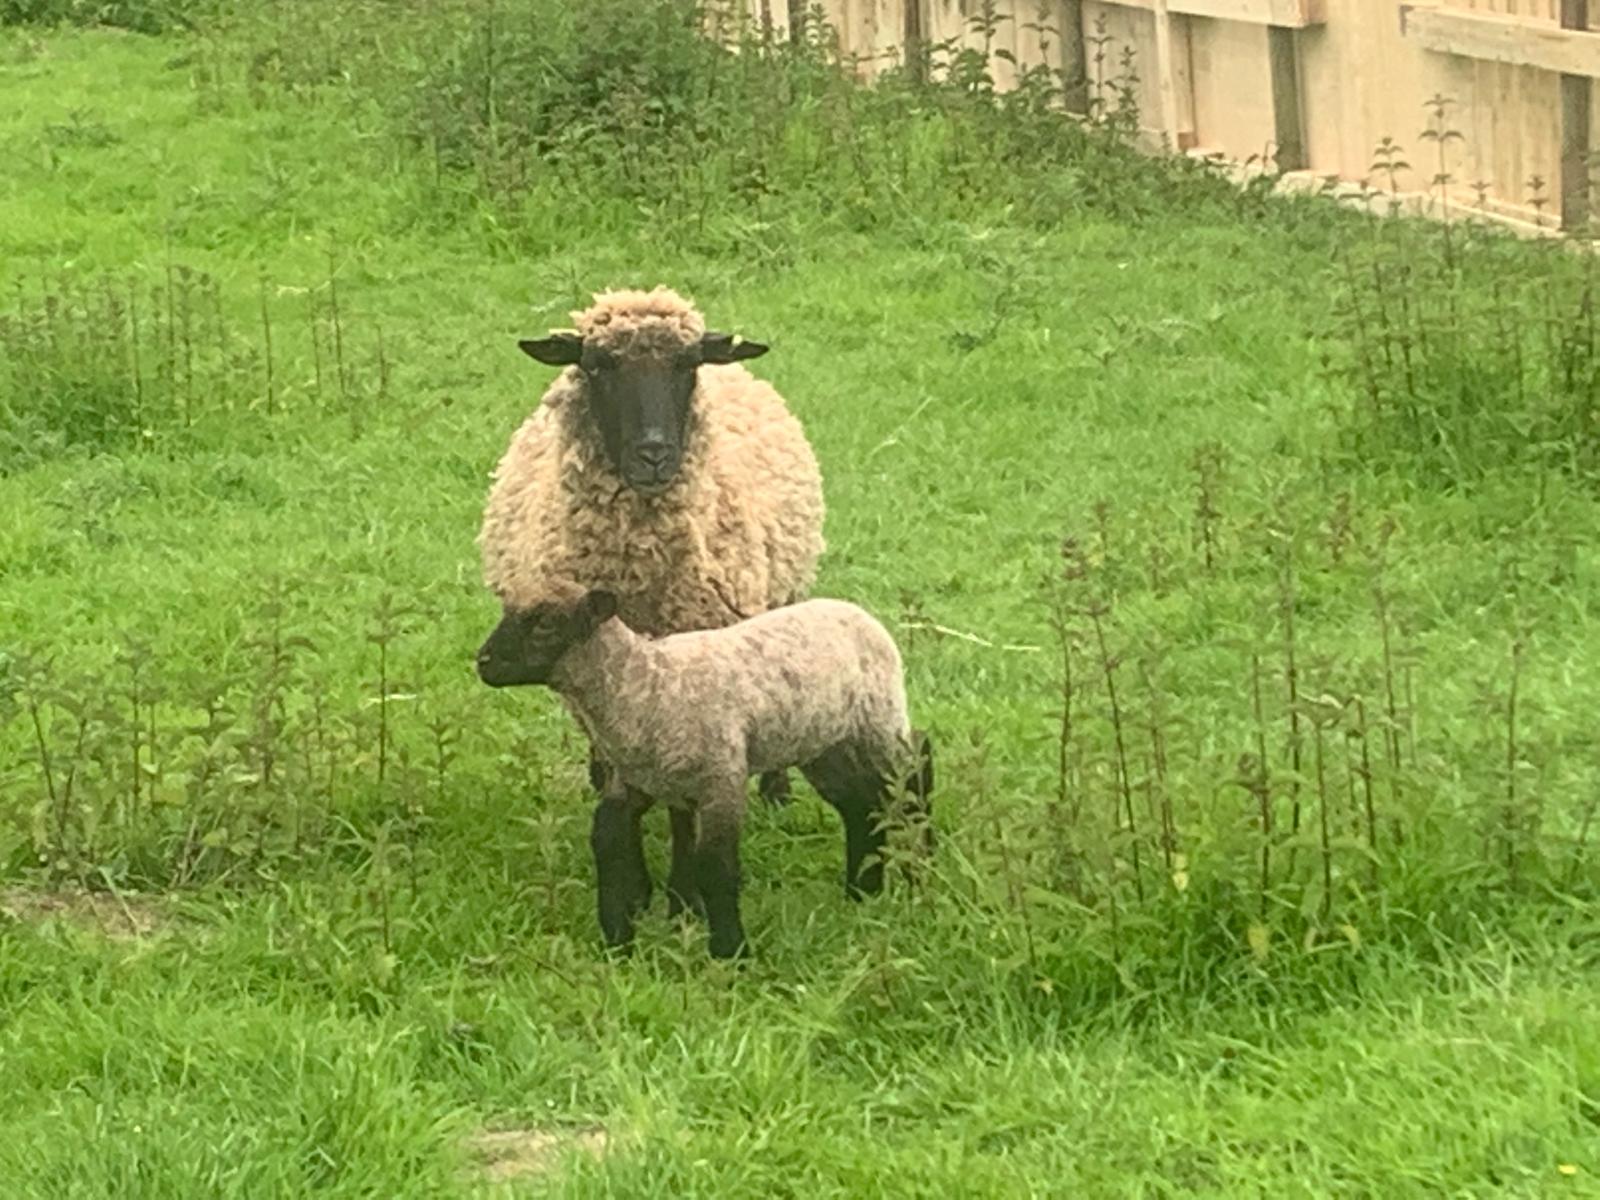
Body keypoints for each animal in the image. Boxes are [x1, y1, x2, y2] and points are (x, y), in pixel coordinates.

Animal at [475, 583, 934, 958]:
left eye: (545, 624)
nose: (483, 661)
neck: (642, 688)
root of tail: (856, 611)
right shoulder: (632, 783)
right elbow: (607, 842)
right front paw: (617, 941)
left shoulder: (721, 781)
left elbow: (714, 866)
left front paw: (731, 952)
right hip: (824, 744)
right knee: (862, 806)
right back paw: (862, 891)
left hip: (879, 721)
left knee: (914, 777)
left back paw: (920, 872)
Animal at [477, 286, 826, 910]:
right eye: (597, 365)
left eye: (688, 365)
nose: (655, 454)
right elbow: (616, 783)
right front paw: (635, 885)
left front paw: (684, 894)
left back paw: (777, 791)